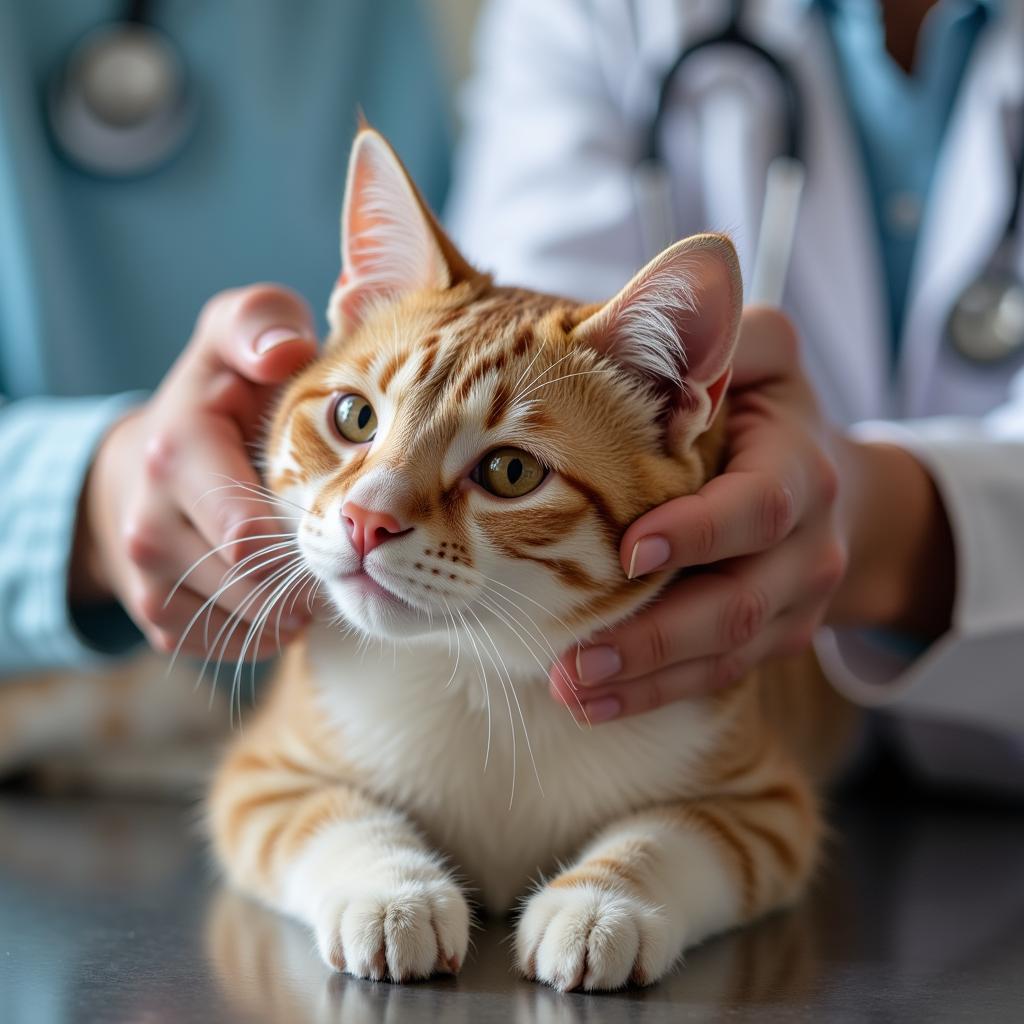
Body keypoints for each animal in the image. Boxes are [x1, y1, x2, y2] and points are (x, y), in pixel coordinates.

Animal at [205, 125, 856, 991]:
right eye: (355, 418)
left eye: (510, 473)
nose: (366, 519)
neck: (478, 674)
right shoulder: (263, 776)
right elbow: (330, 815)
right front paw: (392, 890)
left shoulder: (767, 806)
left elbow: (674, 834)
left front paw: (601, 904)